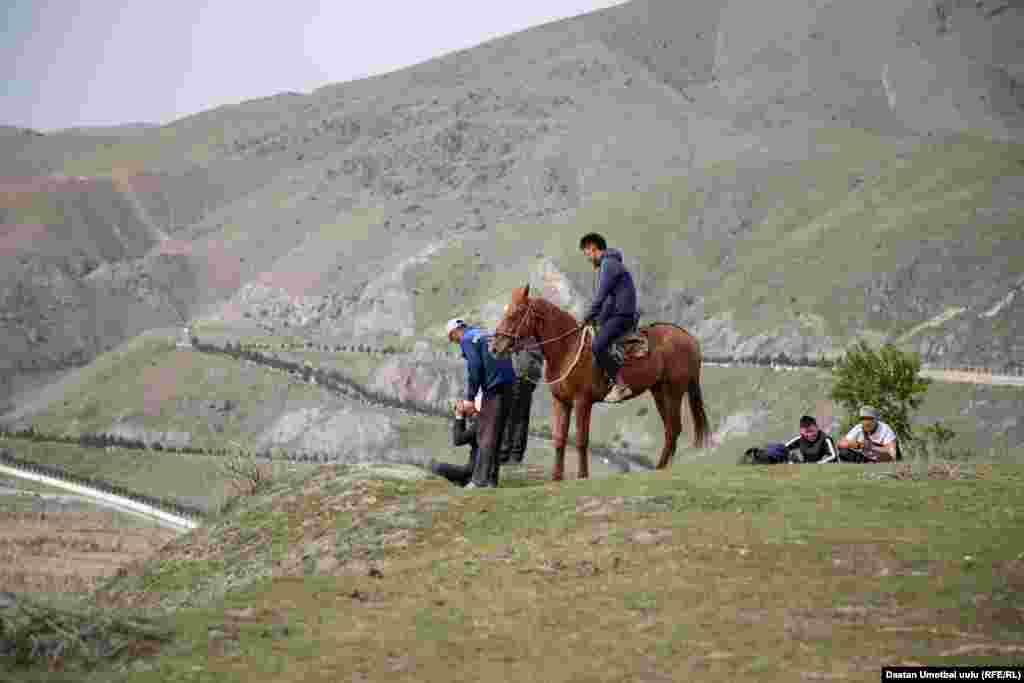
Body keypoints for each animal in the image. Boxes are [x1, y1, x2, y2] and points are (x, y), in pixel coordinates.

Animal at [491, 282, 708, 481]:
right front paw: (557, 477)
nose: (495, 347)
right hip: (659, 392)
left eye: (516, 313)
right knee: (670, 430)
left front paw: (582, 475)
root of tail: (689, 338)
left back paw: (663, 467)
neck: (568, 349)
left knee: (673, 428)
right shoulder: (561, 402)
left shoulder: (582, 402)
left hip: (674, 392)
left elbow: (581, 439)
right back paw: (663, 467)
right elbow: (559, 439)